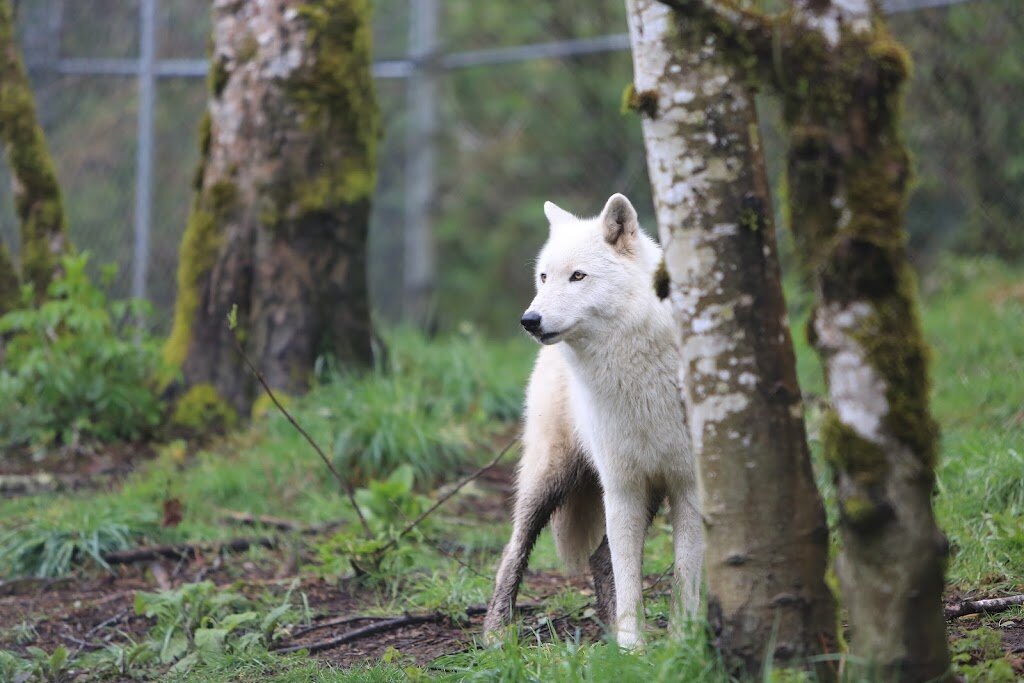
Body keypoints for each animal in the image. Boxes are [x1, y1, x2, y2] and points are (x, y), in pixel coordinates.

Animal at [483, 193, 702, 649]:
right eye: (544, 276)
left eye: (578, 276)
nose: (529, 320)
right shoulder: (621, 486)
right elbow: (629, 576)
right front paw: (633, 648)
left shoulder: (687, 486)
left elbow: (684, 577)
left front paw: (681, 643)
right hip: (549, 477)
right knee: (514, 549)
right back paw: (495, 634)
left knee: (599, 557)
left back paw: (606, 627)